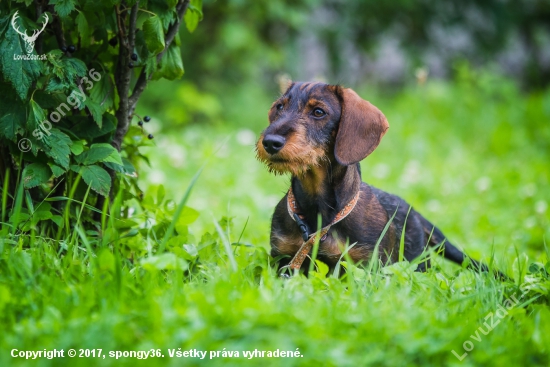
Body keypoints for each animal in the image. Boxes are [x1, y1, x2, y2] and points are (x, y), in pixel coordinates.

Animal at [256, 81, 498, 276]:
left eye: (318, 112)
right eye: (280, 107)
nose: (270, 142)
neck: (319, 210)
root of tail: (415, 214)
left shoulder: (365, 266)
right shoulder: (284, 258)